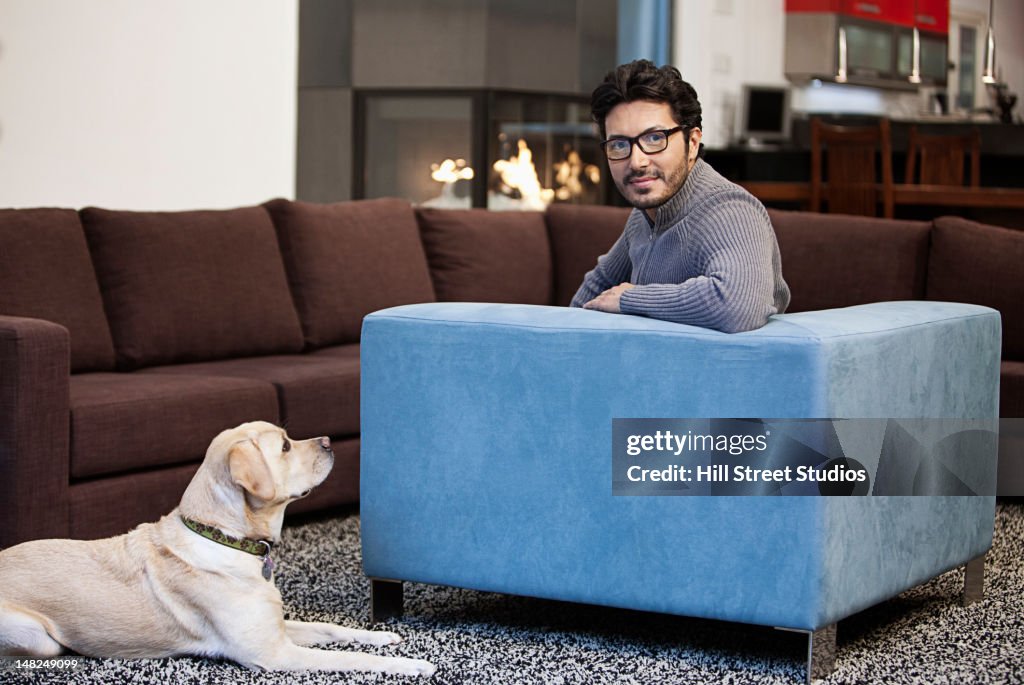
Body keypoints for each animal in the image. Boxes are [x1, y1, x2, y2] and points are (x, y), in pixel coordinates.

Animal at [0, 419, 436, 675]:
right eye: (285, 447)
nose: (329, 440)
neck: (228, 539)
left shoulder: (275, 627)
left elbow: (331, 628)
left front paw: (382, 636)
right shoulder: (274, 654)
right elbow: (350, 658)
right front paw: (414, 665)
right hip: (37, 636)